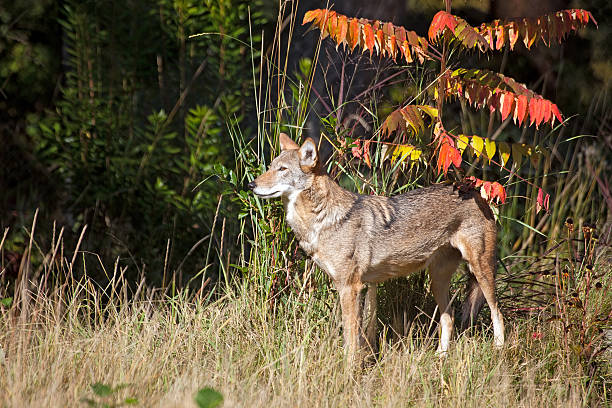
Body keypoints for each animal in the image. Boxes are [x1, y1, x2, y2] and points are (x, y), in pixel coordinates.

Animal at [246, 134, 504, 364]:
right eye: (270, 167)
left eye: (282, 170)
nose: (251, 184)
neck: (323, 220)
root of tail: (477, 194)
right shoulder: (362, 286)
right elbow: (362, 335)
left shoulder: (350, 287)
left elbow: (351, 339)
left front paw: (348, 371)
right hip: (437, 280)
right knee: (448, 319)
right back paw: (440, 358)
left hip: (480, 272)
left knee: (496, 313)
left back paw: (499, 354)